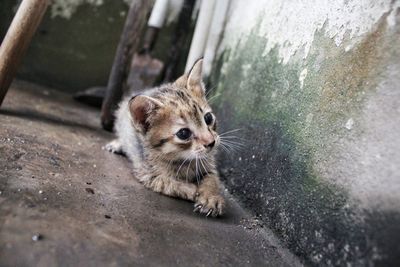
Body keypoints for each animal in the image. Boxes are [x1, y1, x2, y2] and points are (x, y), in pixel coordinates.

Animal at [104, 59, 225, 218]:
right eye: (184, 133)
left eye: (208, 118)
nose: (211, 142)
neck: (184, 159)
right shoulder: (147, 174)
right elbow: (169, 183)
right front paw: (193, 190)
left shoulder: (209, 166)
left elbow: (212, 179)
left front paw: (211, 197)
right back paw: (117, 144)